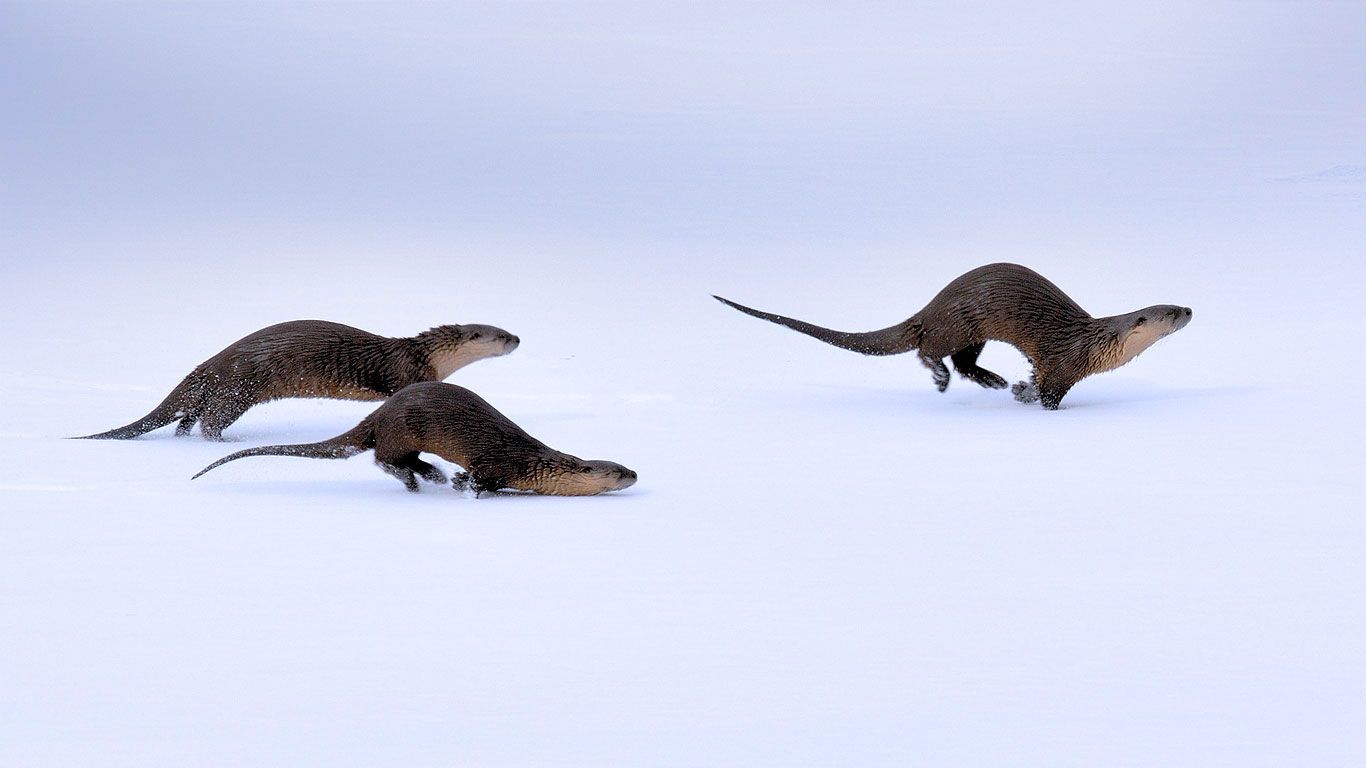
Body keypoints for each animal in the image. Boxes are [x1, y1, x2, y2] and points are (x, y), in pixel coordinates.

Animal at [77, 320, 520, 440]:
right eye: (500, 335)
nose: (518, 339)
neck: (426, 355)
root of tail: (211, 362)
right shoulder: (407, 374)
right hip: (237, 389)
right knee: (210, 420)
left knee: (188, 419)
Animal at [192, 382, 637, 496]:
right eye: (617, 471)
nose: (635, 474)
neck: (533, 464)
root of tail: (379, 413)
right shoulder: (498, 465)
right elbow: (482, 480)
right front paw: (462, 484)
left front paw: (455, 481)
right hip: (400, 430)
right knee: (384, 459)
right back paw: (424, 481)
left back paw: (431, 475)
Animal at [715, 263, 1191, 409]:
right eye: (1170, 313)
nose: (1190, 309)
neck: (1095, 345)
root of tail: (930, 306)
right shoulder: (1061, 366)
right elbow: (1047, 393)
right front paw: (1026, 396)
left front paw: (1016, 389)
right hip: (956, 324)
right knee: (929, 350)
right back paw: (943, 379)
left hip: (970, 333)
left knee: (964, 362)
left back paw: (993, 380)